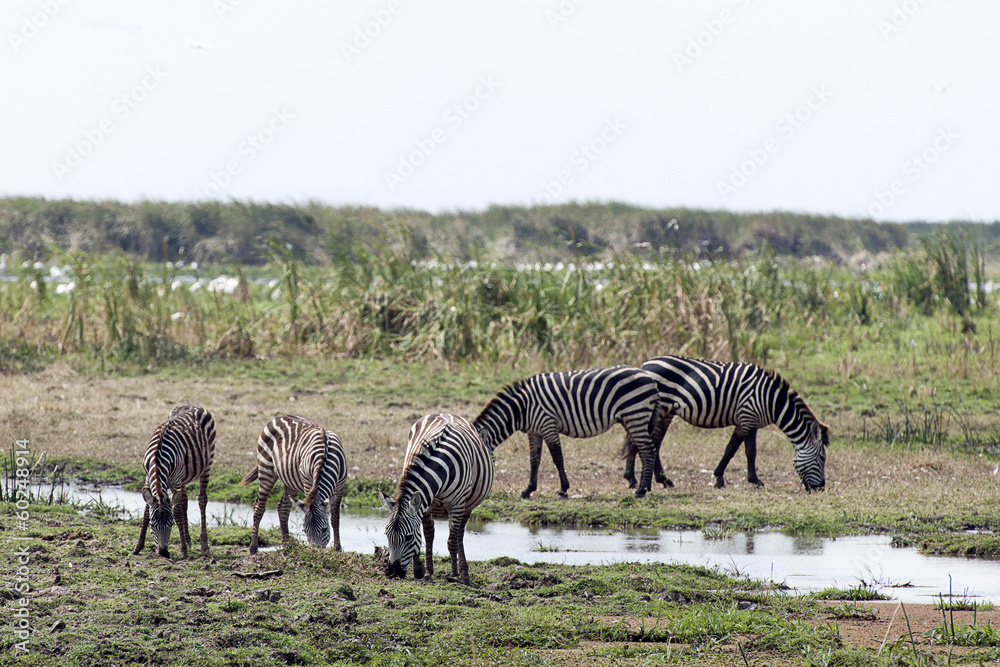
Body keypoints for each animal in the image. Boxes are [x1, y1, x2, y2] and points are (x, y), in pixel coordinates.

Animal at [133, 405, 216, 559]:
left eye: (171, 525)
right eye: (153, 525)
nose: (164, 553)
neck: (157, 460)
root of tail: (193, 405)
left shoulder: (176, 479)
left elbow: (177, 514)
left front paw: (183, 550)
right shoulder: (148, 478)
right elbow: (146, 513)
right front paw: (138, 547)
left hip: (207, 465)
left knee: (202, 500)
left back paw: (204, 544)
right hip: (183, 477)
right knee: (184, 501)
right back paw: (188, 541)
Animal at [240, 414, 347, 555]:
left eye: (324, 529)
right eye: (304, 531)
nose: (315, 553)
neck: (325, 456)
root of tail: (279, 416)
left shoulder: (340, 486)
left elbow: (335, 518)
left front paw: (338, 548)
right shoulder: (308, 481)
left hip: (289, 480)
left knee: (283, 508)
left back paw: (287, 546)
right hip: (266, 469)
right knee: (259, 507)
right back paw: (253, 548)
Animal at [380, 413, 493, 586]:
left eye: (408, 537)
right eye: (387, 535)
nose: (392, 571)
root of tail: (448, 413)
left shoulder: (456, 504)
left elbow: (452, 541)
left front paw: (454, 575)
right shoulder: (426, 502)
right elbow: (428, 535)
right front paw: (423, 571)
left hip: (468, 505)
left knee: (459, 535)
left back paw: (464, 575)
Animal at [472, 365, 661, 498]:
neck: (522, 408)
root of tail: (650, 379)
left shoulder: (548, 424)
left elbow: (557, 458)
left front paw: (563, 489)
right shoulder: (535, 431)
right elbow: (534, 460)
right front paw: (528, 489)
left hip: (635, 414)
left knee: (648, 450)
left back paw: (641, 490)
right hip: (634, 418)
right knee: (643, 450)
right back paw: (644, 486)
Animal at [621, 355, 829, 491]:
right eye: (822, 458)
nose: (821, 488)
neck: (771, 400)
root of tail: (646, 364)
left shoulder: (742, 421)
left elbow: (730, 449)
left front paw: (719, 478)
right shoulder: (749, 418)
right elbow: (750, 452)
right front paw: (755, 481)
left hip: (665, 411)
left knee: (651, 441)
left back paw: (658, 480)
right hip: (660, 407)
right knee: (642, 440)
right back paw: (636, 479)